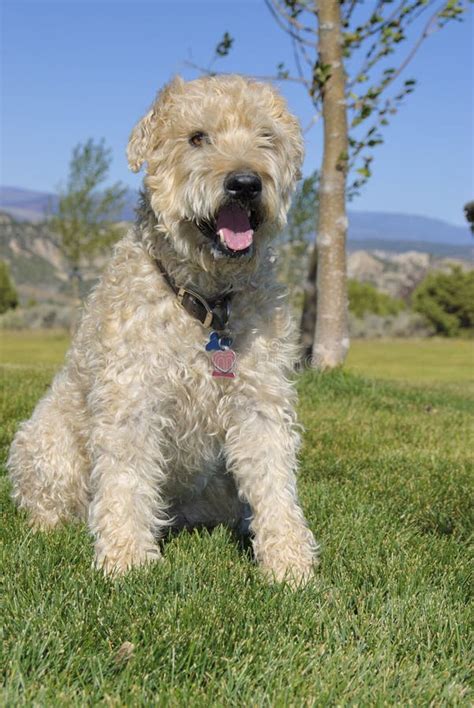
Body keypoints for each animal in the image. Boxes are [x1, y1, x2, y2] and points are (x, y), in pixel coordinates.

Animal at [7, 76, 318, 588]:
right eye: (197, 137)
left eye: (266, 137)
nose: (246, 183)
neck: (205, 303)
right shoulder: (132, 397)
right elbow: (127, 481)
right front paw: (127, 559)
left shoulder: (259, 401)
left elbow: (275, 482)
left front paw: (289, 561)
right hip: (46, 441)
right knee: (49, 503)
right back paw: (50, 526)